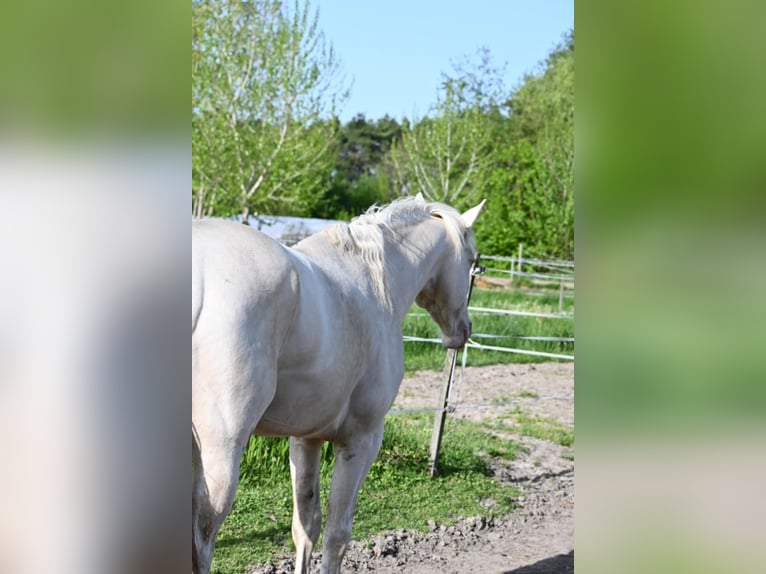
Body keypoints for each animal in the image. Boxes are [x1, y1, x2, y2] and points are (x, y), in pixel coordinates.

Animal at [192, 196, 486, 574]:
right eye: (472, 260)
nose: (462, 331)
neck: (375, 284)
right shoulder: (360, 440)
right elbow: (337, 532)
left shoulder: (306, 439)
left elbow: (306, 525)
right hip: (222, 452)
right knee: (202, 540)